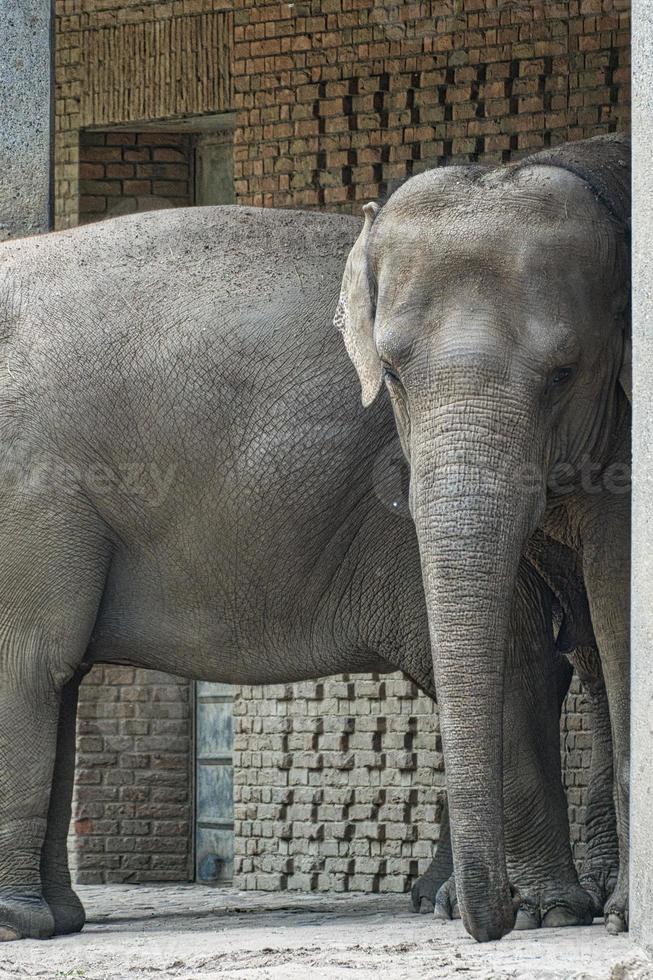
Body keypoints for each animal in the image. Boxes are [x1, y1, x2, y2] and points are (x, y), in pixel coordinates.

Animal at [0, 199, 612, 940]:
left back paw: (542, 910)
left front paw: (15, 924)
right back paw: (454, 899)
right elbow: (55, 678)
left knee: (517, 668)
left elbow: (26, 664)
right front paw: (55, 922)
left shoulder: (29, 487)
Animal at [336, 132, 628, 940]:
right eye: (392, 373)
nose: (488, 914)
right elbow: (519, 632)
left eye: (563, 374)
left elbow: (620, 595)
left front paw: (612, 914)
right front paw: (547, 910)